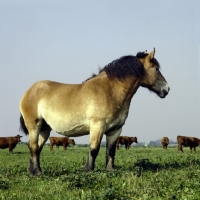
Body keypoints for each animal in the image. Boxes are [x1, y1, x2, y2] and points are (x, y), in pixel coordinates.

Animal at [19, 48, 169, 175]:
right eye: (156, 69)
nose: (167, 89)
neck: (110, 91)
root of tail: (29, 91)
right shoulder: (97, 126)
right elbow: (94, 149)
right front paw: (89, 170)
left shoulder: (115, 130)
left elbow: (111, 151)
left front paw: (110, 170)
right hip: (34, 126)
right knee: (33, 147)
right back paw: (37, 172)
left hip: (45, 129)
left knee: (37, 148)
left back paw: (32, 170)